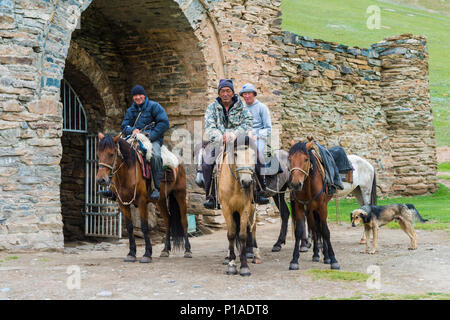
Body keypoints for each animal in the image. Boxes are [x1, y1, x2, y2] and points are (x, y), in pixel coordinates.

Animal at [96, 132, 192, 262]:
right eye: (98, 154)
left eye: (111, 154)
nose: (101, 180)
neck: (128, 172)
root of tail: (178, 162)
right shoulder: (123, 203)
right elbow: (129, 227)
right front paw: (131, 253)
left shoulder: (141, 202)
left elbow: (144, 226)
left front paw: (147, 254)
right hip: (160, 200)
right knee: (168, 220)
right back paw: (165, 250)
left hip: (180, 194)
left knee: (184, 221)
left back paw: (187, 250)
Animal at [218, 134, 260, 276]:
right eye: (236, 154)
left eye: (254, 154)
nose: (246, 182)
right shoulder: (226, 208)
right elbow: (231, 234)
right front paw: (231, 264)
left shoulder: (245, 207)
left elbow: (242, 235)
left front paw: (244, 266)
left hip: (252, 210)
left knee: (252, 228)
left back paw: (255, 255)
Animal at [290, 139, 340, 270]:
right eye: (289, 159)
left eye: (306, 159)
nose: (296, 184)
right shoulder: (300, 207)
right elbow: (299, 232)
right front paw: (294, 260)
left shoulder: (322, 207)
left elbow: (325, 231)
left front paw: (333, 259)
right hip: (310, 211)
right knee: (315, 229)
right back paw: (316, 254)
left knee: (320, 229)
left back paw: (326, 256)